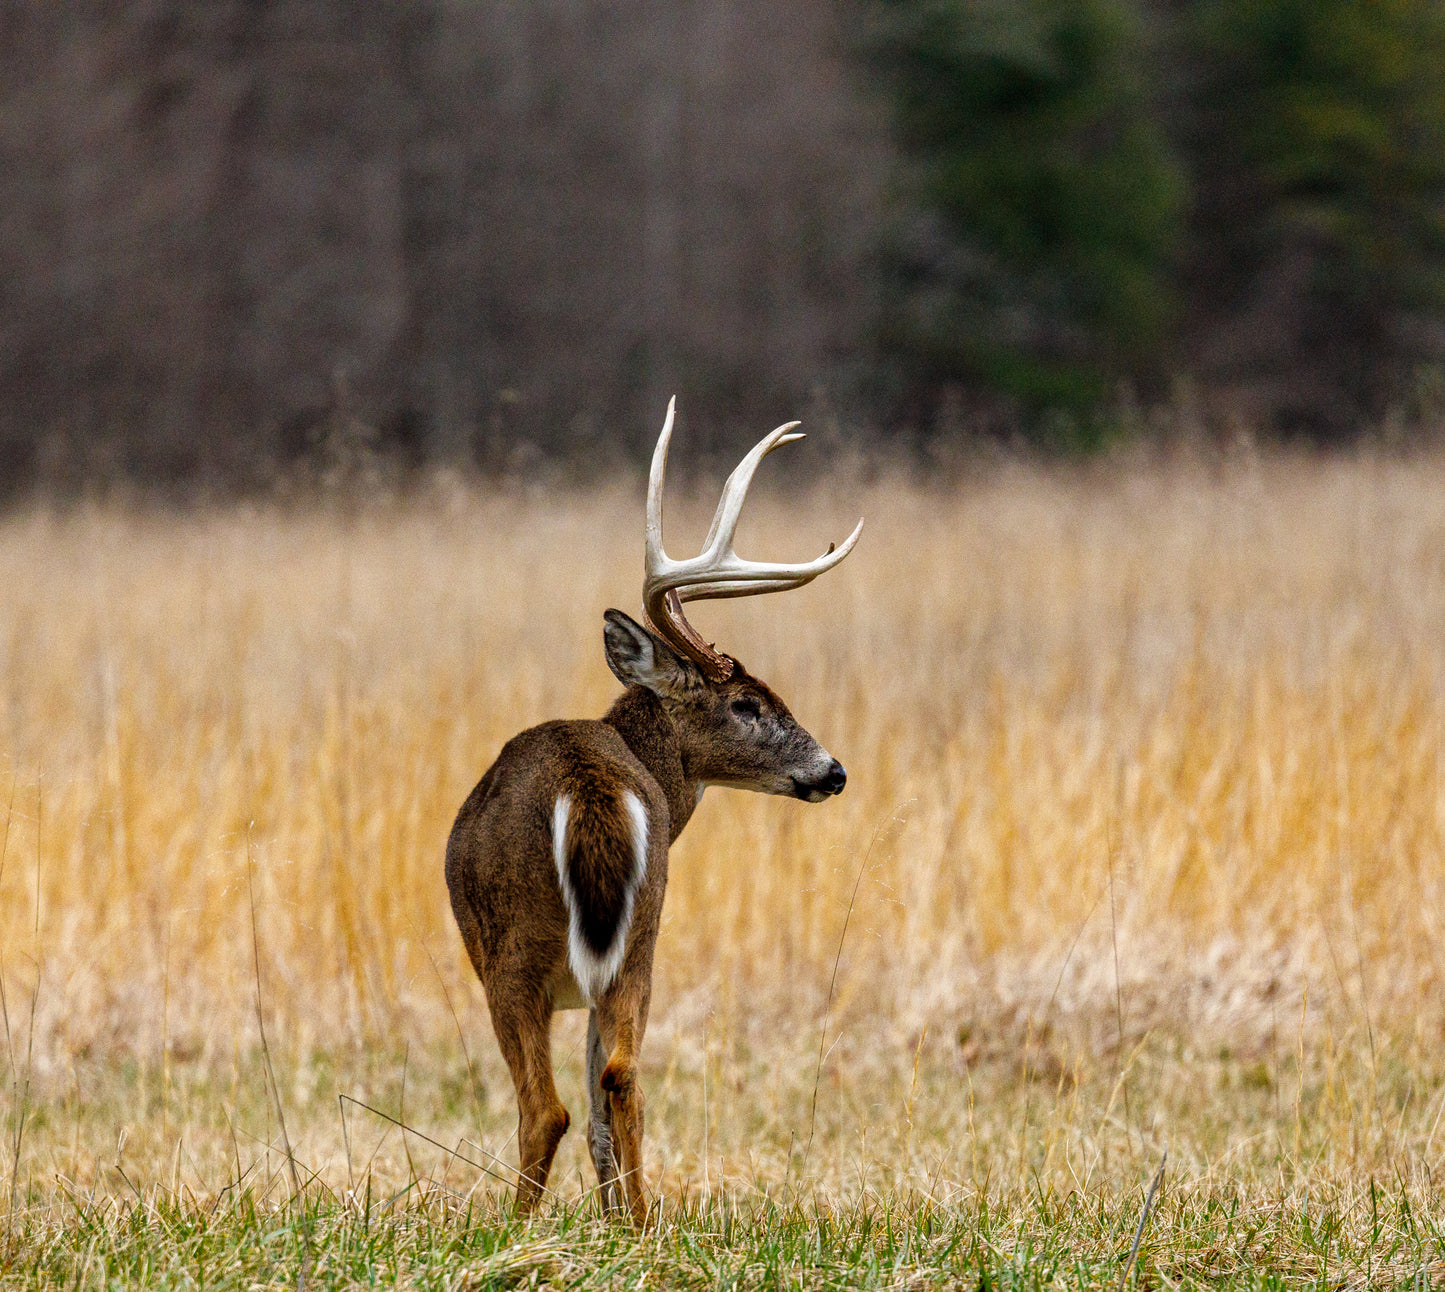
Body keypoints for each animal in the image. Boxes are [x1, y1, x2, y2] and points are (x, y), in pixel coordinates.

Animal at [445, 398, 861, 1231]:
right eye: (748, 703)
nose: (832, 771)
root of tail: (590, 787)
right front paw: (614, 1222)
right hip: (642, 936)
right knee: (620, 1077)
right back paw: (638, 1224)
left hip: (515, 951)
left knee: (546, 1107)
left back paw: (514, 1230)